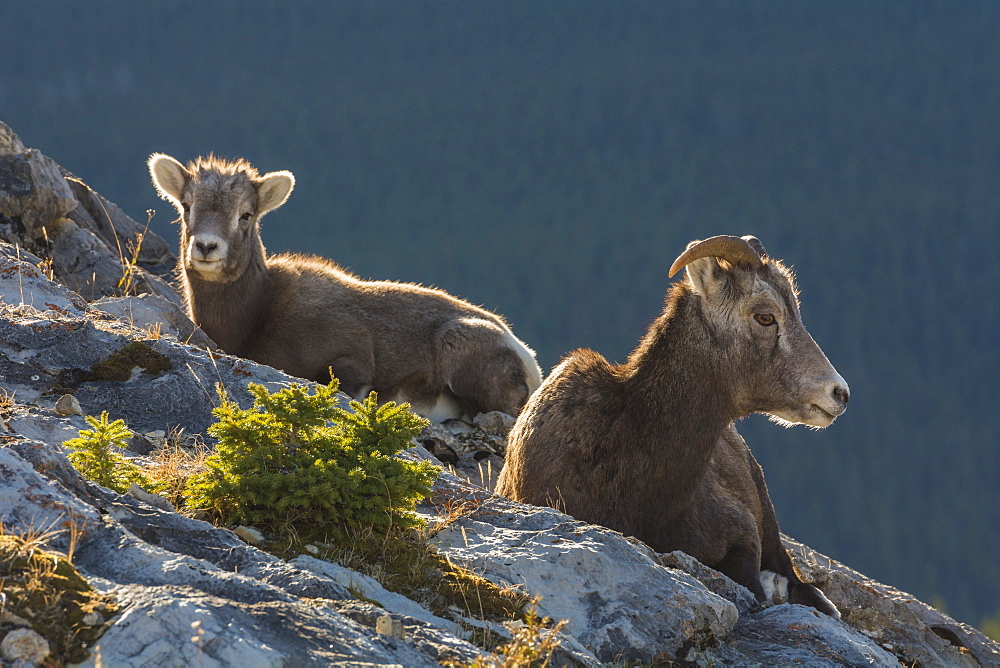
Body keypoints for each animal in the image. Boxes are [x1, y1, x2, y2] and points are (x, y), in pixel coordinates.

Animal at [148, 154, 540, 420]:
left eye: (246, 215)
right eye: (186, 206)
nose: (206, 247)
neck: (256, 315)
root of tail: (526, 356)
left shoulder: (351, 360)